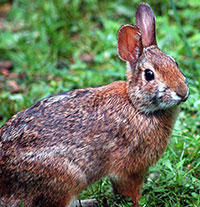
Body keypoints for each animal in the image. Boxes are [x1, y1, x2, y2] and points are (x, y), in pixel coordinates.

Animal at [0, 2, 188, 207]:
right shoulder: (128, 169)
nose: (183, 92)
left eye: (175, 63)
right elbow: (131, 191)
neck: (137, 106)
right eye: (149, 75)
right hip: (66, 178)